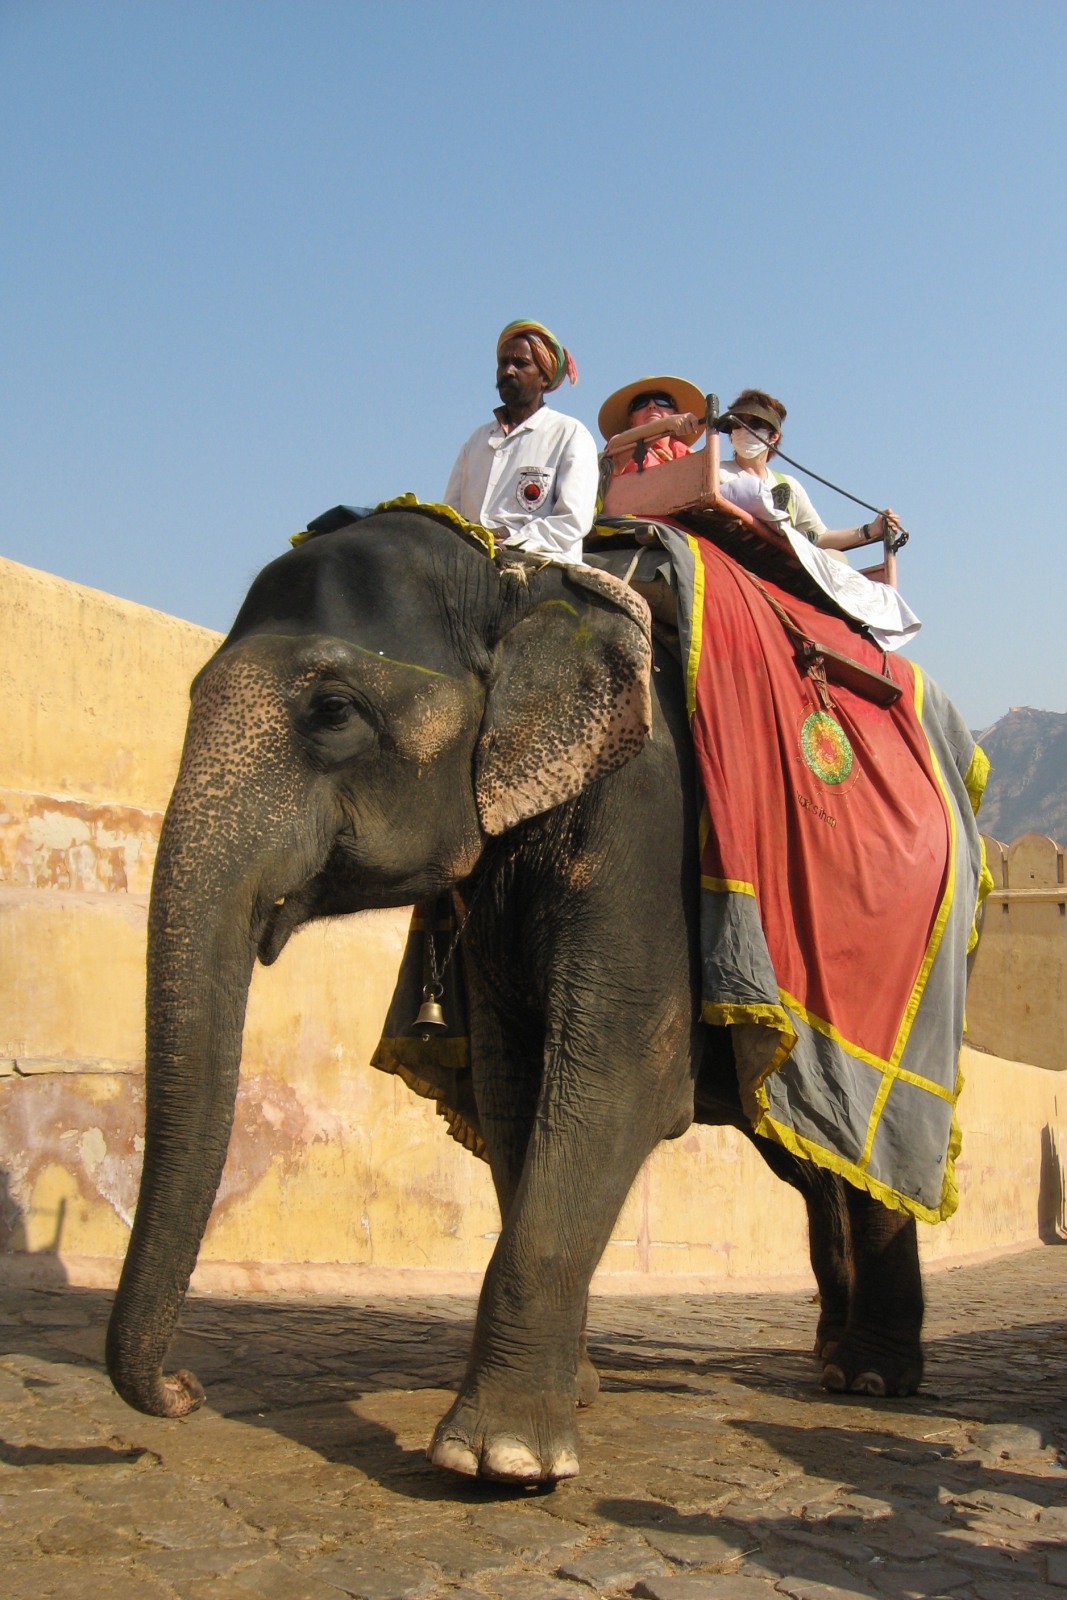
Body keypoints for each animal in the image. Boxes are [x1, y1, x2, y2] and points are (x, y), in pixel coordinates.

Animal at [106, 505, 928, 1486]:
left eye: (333, 711)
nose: (184, 1392)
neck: (517, 584)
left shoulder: (648, 821)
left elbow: (622, 1075)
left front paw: (498, 1461)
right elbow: (513, 1084)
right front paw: (572, 1396)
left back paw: (875, 1379)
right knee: (813, 1160)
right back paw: (836, 1360)